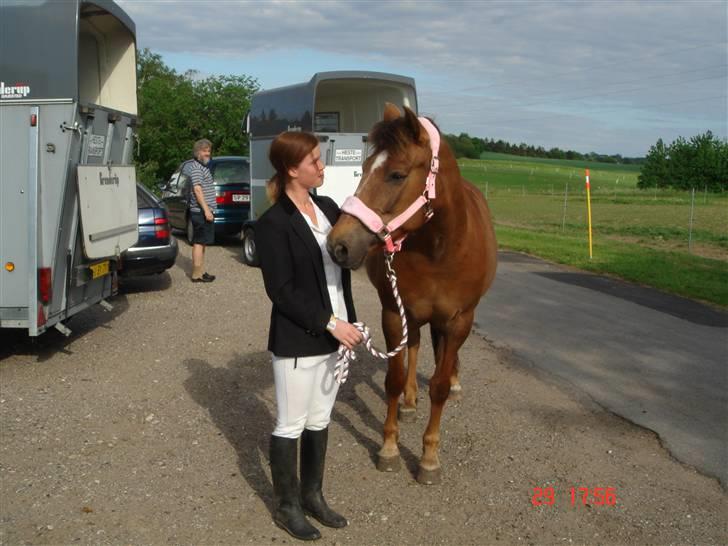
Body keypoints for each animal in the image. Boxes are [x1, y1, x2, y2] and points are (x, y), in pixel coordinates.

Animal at [326, 103, 497, 484]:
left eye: (396, 175)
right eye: (364, 168)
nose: (337, 245)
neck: (440, 251)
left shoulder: (459, 321)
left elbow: (440, 387)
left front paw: (429, 458)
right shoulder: (394, 313)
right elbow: (394, 378)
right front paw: (389, 447)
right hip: (413, 316)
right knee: (416, 347)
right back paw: (408, 402)